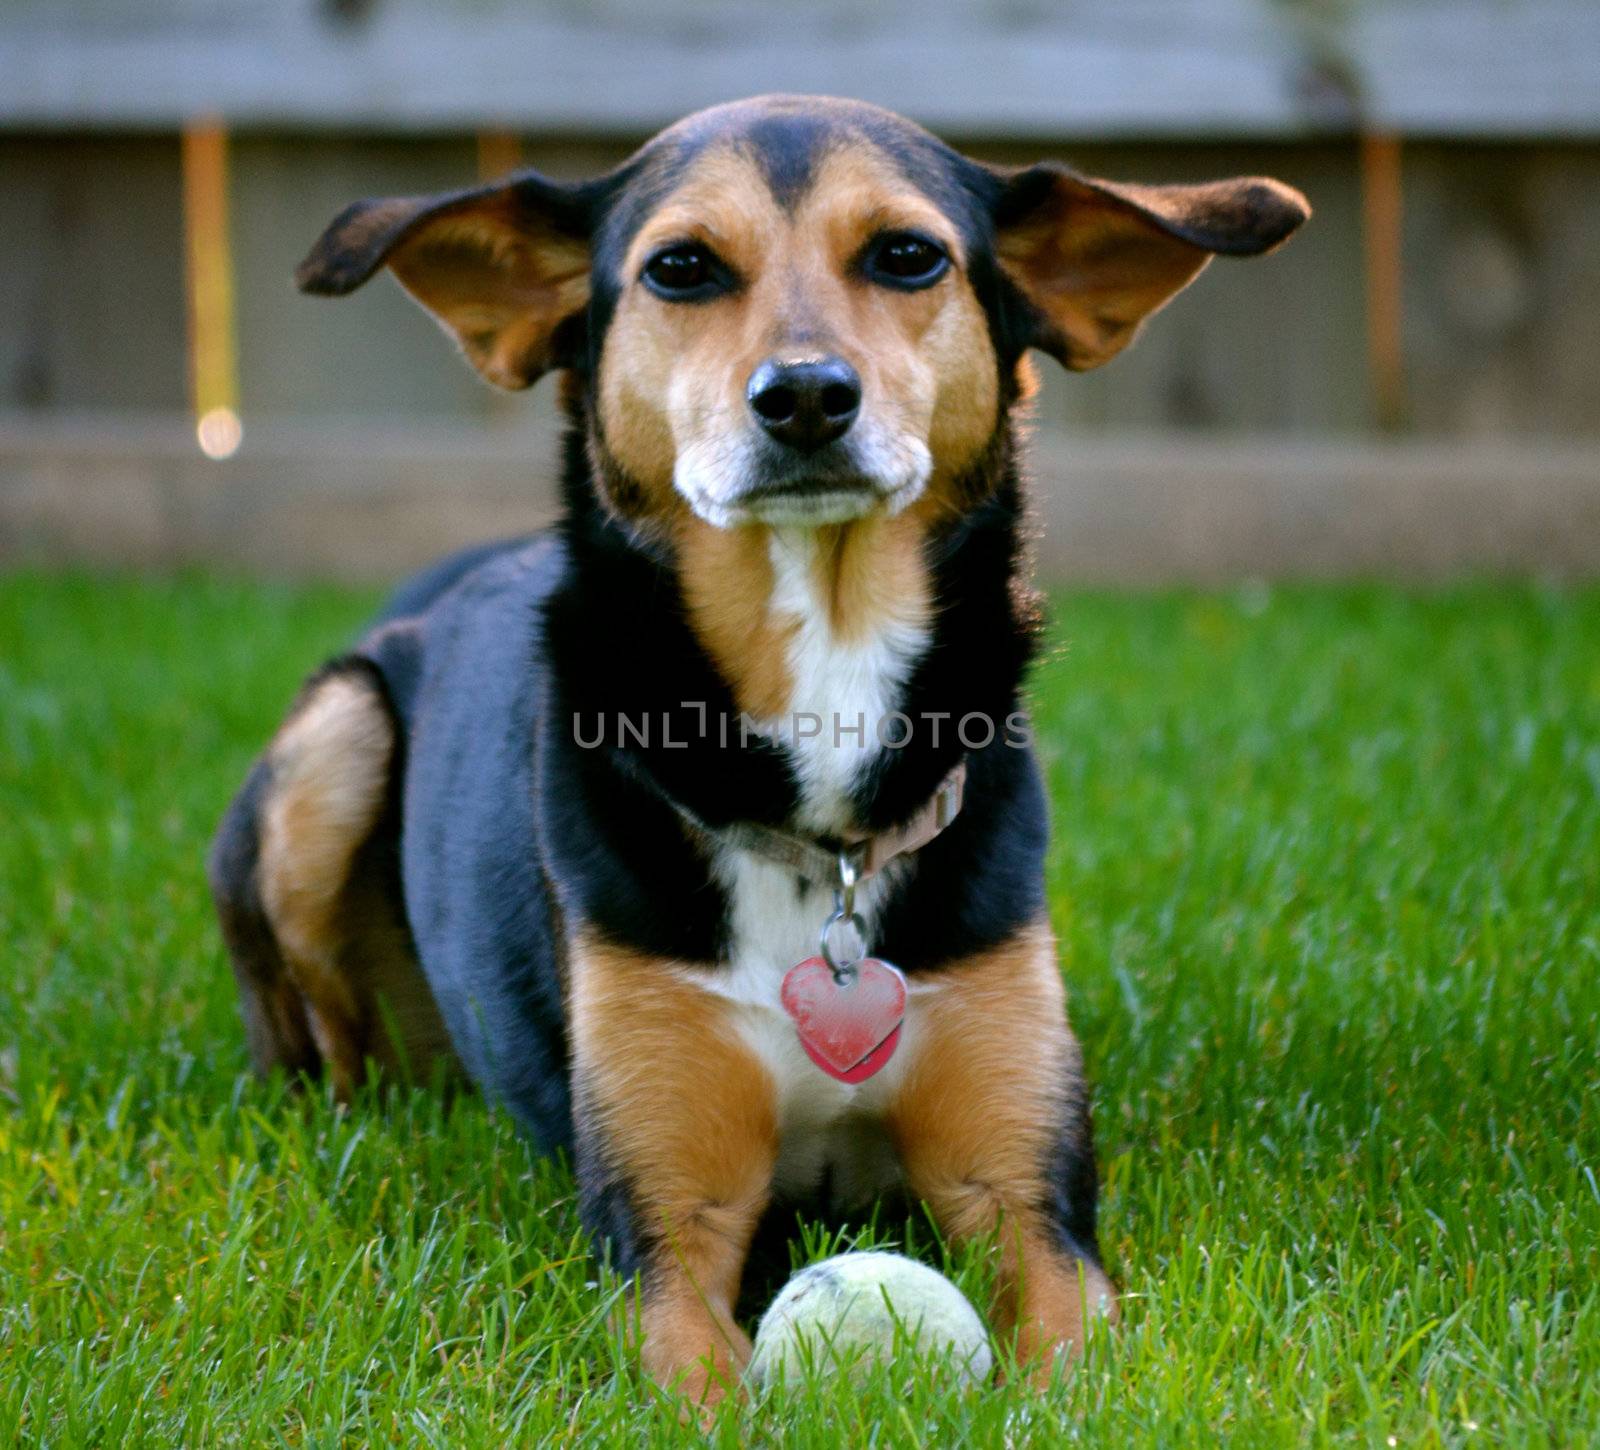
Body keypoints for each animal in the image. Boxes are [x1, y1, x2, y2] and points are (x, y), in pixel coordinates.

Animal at [209, 93, 1312, 1401]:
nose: (804, 395)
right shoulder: (665, 1227)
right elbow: (695, 1361)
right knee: (330, 1054)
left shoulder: (1028, 1193)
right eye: (681, 268)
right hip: (335, 743)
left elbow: (1071, 1353)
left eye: (906, 255)